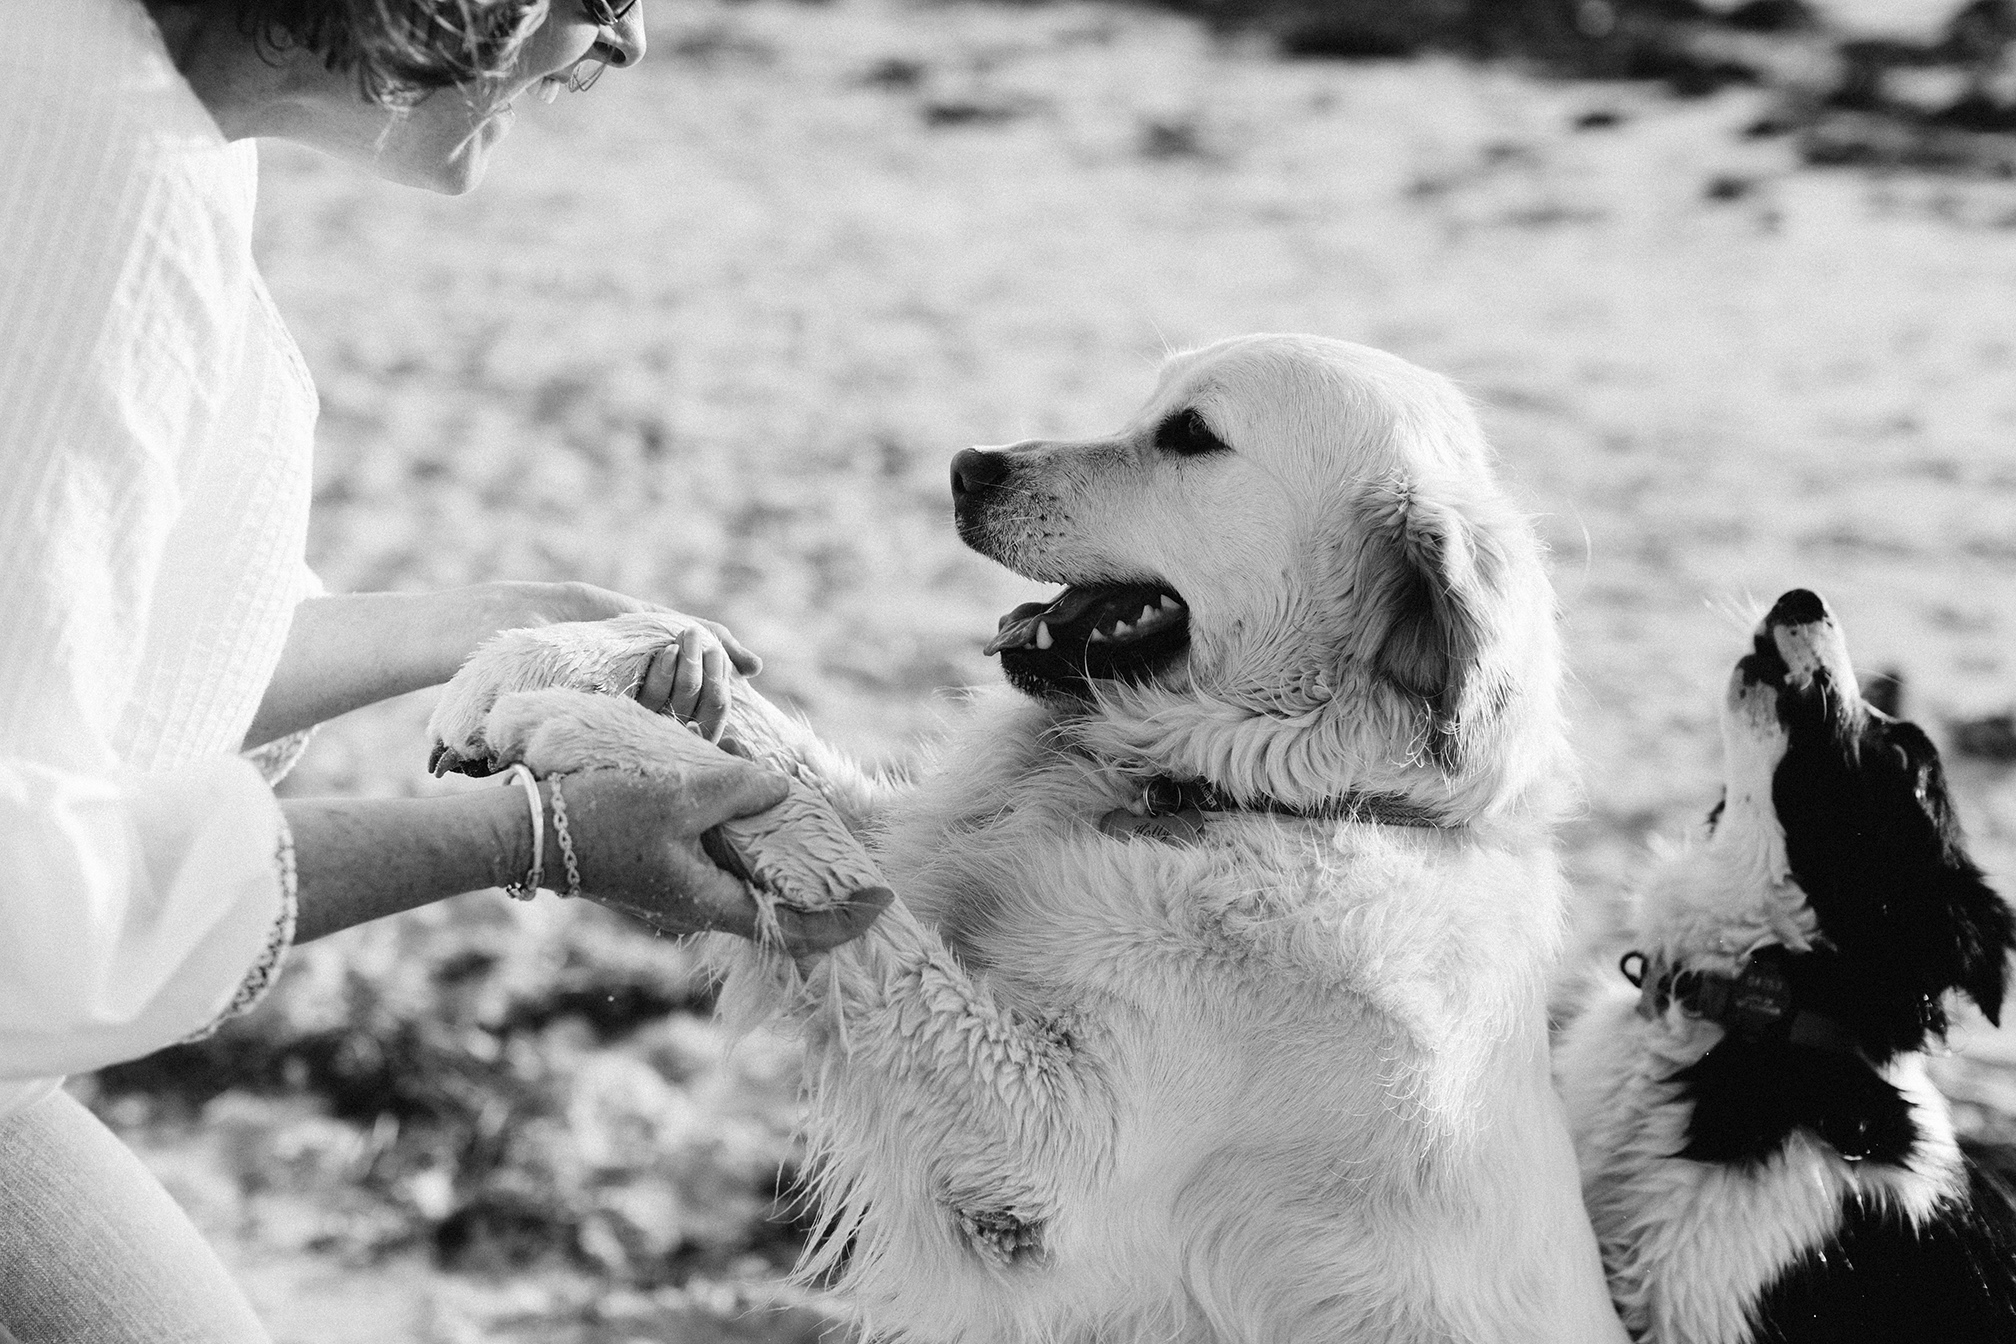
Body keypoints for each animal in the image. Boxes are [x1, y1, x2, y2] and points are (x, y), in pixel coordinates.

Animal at [437, 336, 1620, 1344]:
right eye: (1146, 403)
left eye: (1191, 436)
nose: (968, 466)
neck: (1242, 794)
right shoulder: (920, 857)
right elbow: (781, 758)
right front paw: (540, 659)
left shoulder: (1046, 1166)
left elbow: (815, 844)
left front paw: (592, 731)